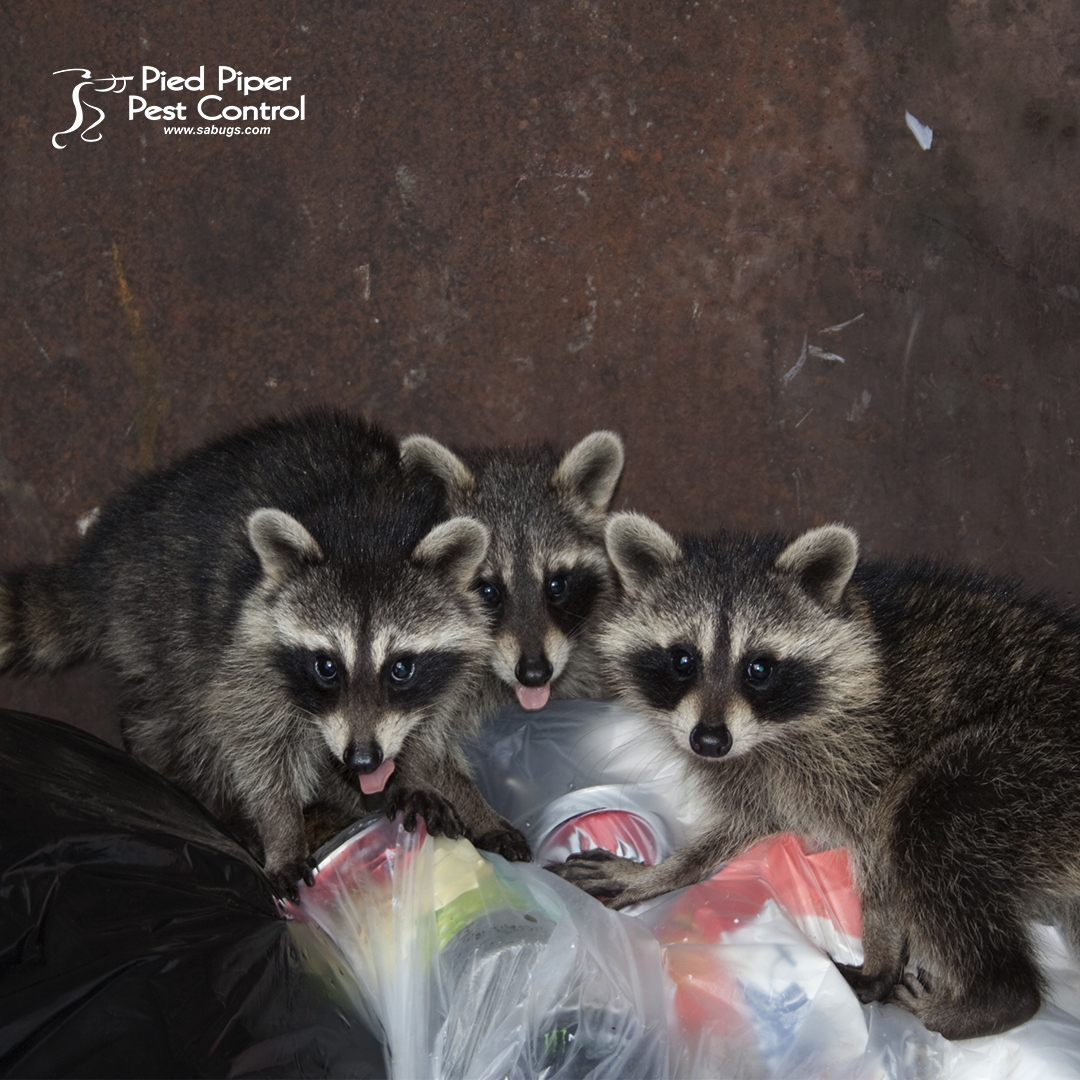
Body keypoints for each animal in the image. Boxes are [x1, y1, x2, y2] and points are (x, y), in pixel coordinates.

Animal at [0, 412, 529, 898]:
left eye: (401, 667)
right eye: (326, 666)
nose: (362, 759)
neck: (369, 533)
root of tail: (103, 557)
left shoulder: (457, 661)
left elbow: (433, 727)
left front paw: (420, 779)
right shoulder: (246, 642)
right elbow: (253, 740)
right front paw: (281, 828)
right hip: (164, 616)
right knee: (184, 721)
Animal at [550, 512, 1080, 1040]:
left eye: (759, 668)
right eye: (683, 661)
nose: (709, 742)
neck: (772, 733)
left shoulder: (872, 752)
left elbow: (881, 853)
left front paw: (882, 950)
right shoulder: (756, 772)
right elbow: (747, 823)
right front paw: (666, 871)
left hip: (1023, 761)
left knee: (929, 823)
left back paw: (990, 998)